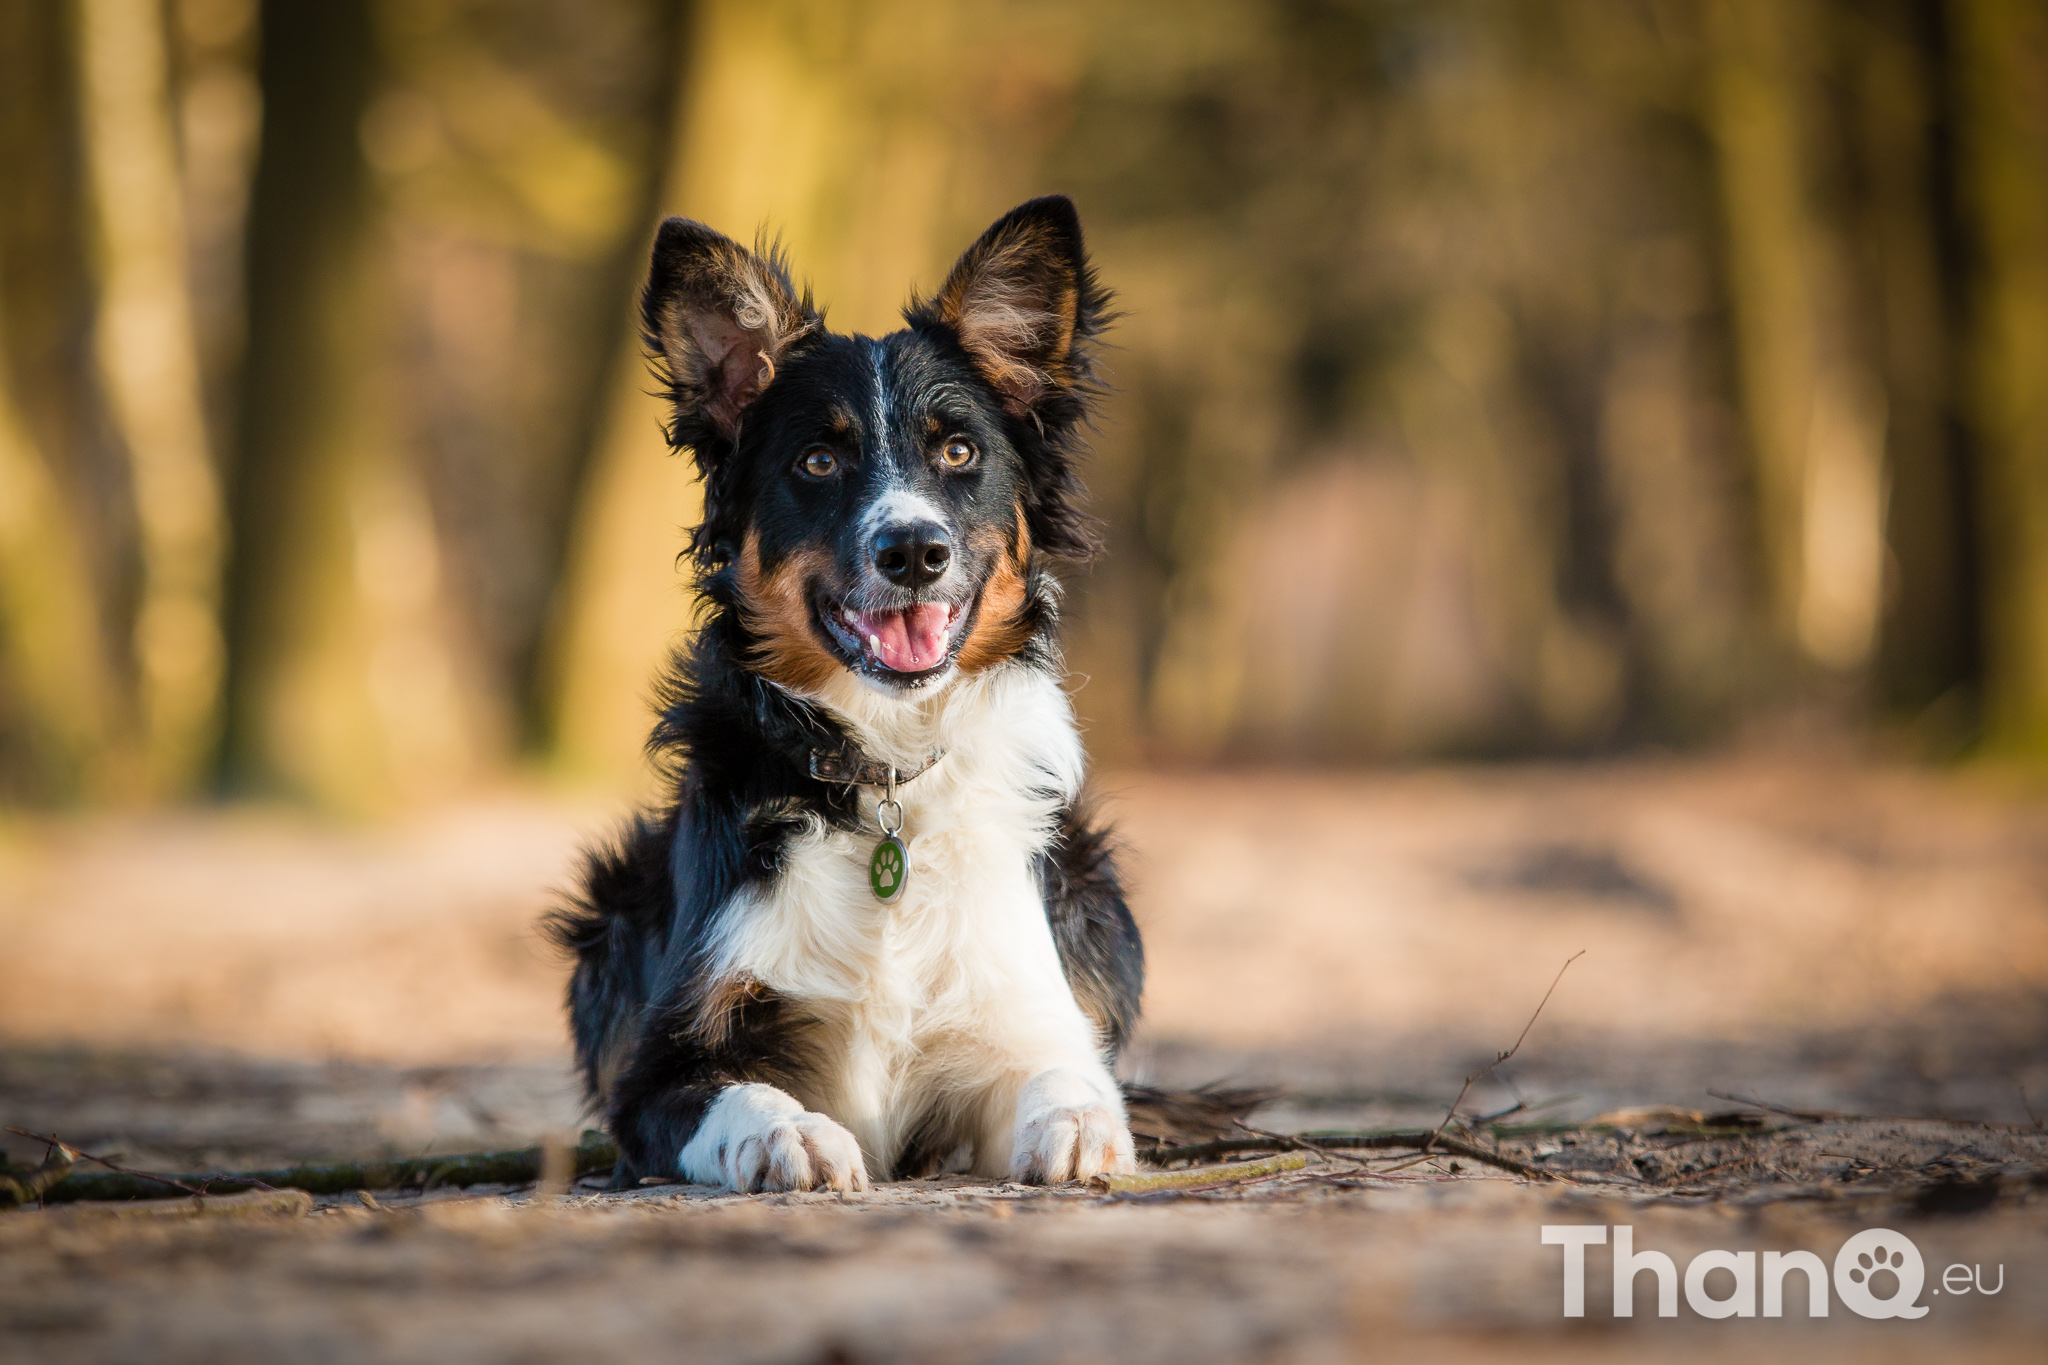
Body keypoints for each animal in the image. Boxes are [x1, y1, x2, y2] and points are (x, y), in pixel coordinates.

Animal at [544, 197, 1155, 1186]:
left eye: (959, 450)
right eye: (819, 462)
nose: (913, 550)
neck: (884, 776)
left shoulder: (1020, 1011)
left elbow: (1063, 1072)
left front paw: (1079, 1120)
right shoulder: (661, 1066)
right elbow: (741, 1093)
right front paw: (787, 1132)